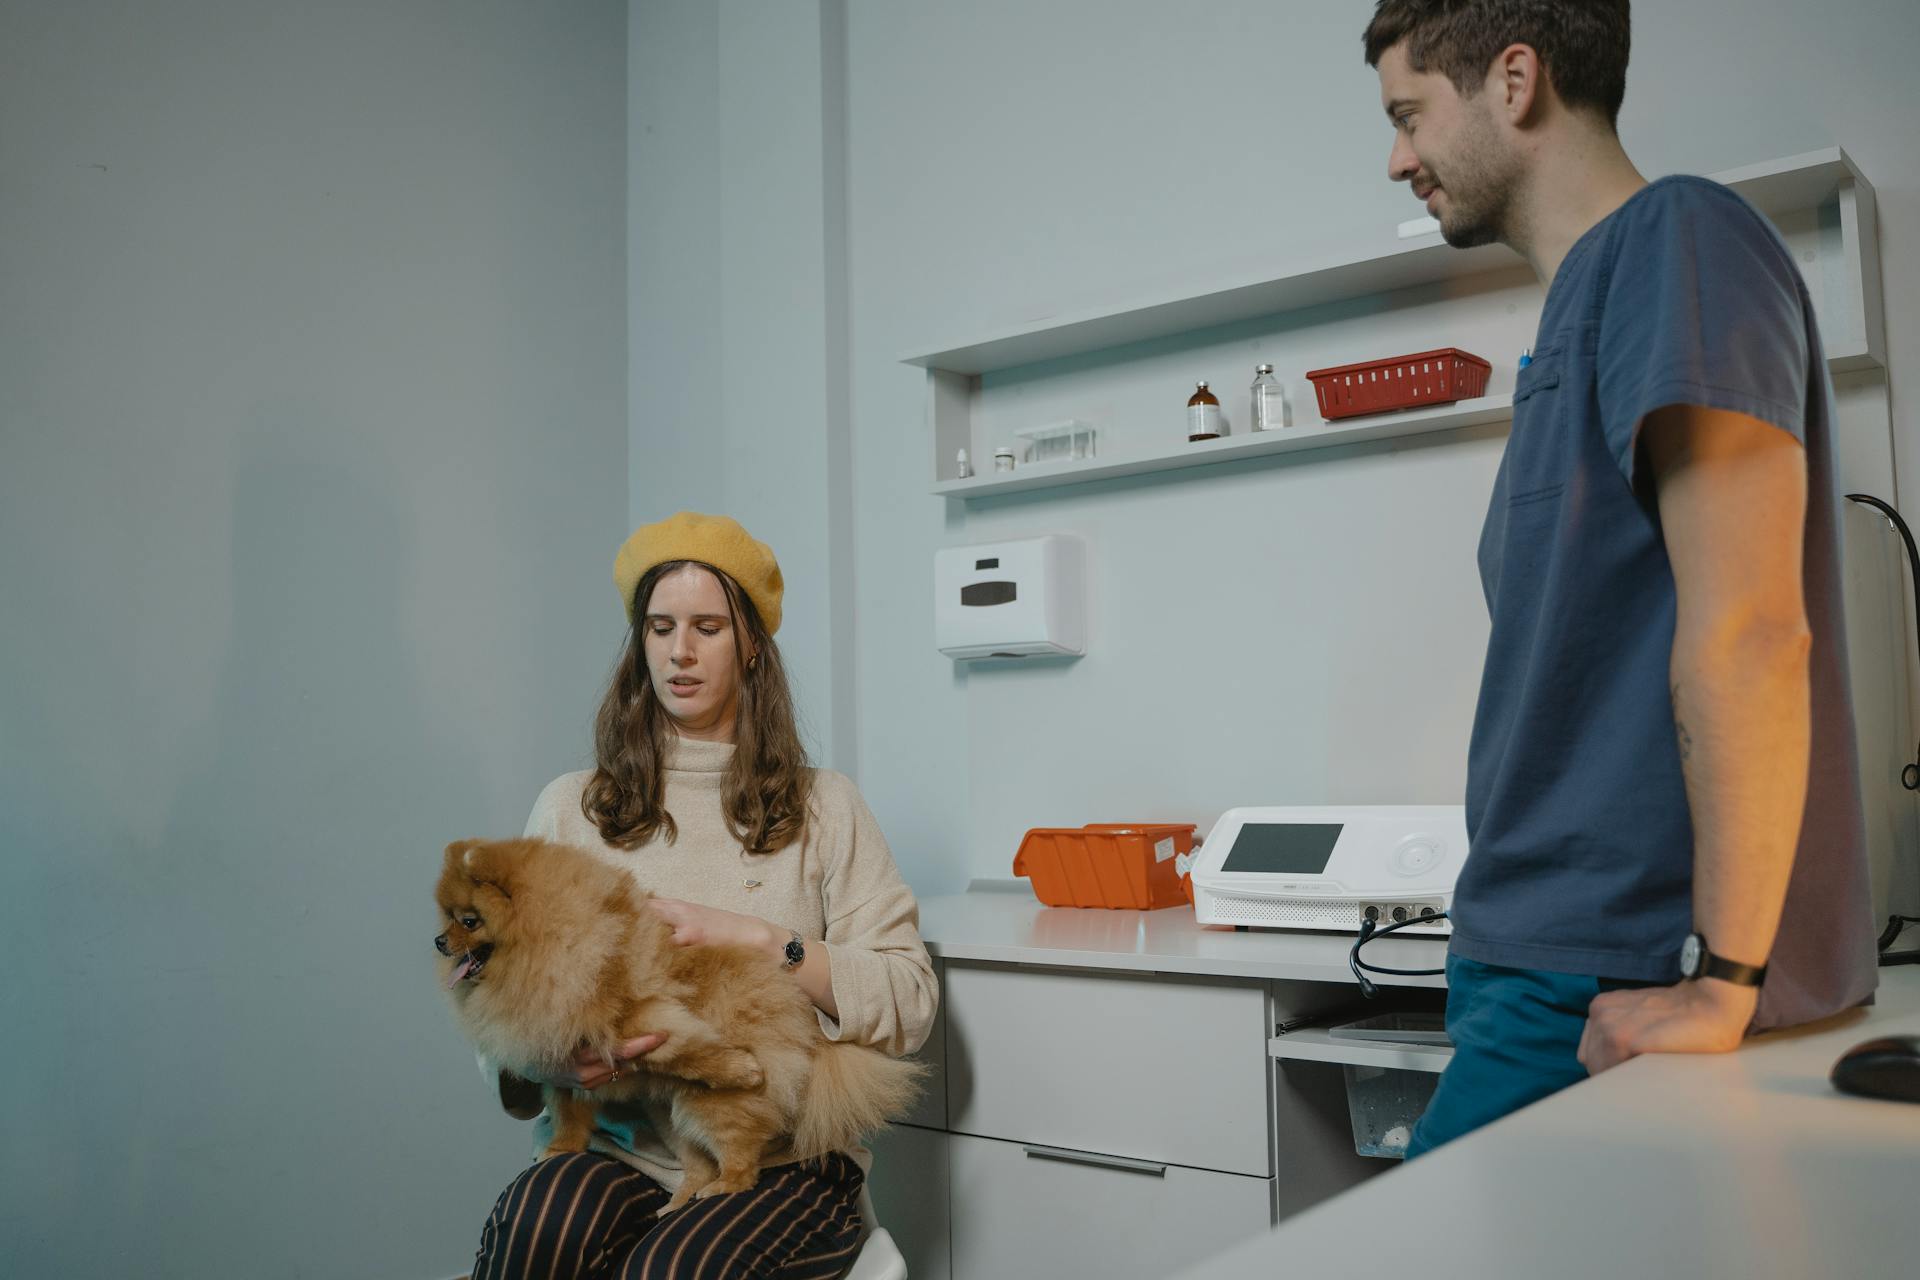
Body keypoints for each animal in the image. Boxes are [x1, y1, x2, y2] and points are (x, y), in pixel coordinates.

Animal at [433, 836, 921, 1205]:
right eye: (446, 918)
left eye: (469, 921)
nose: (438, 941)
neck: (550, 941)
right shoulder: (559, 1060)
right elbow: (568, 1114)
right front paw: (560, 1149)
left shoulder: (640, 1014)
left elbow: (686, 1048)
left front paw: (740, 1069)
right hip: (672, 1118)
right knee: (698, 1165)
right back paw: (677, 1203)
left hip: (703, 1106)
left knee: (741, 1161)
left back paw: (723, 1185)